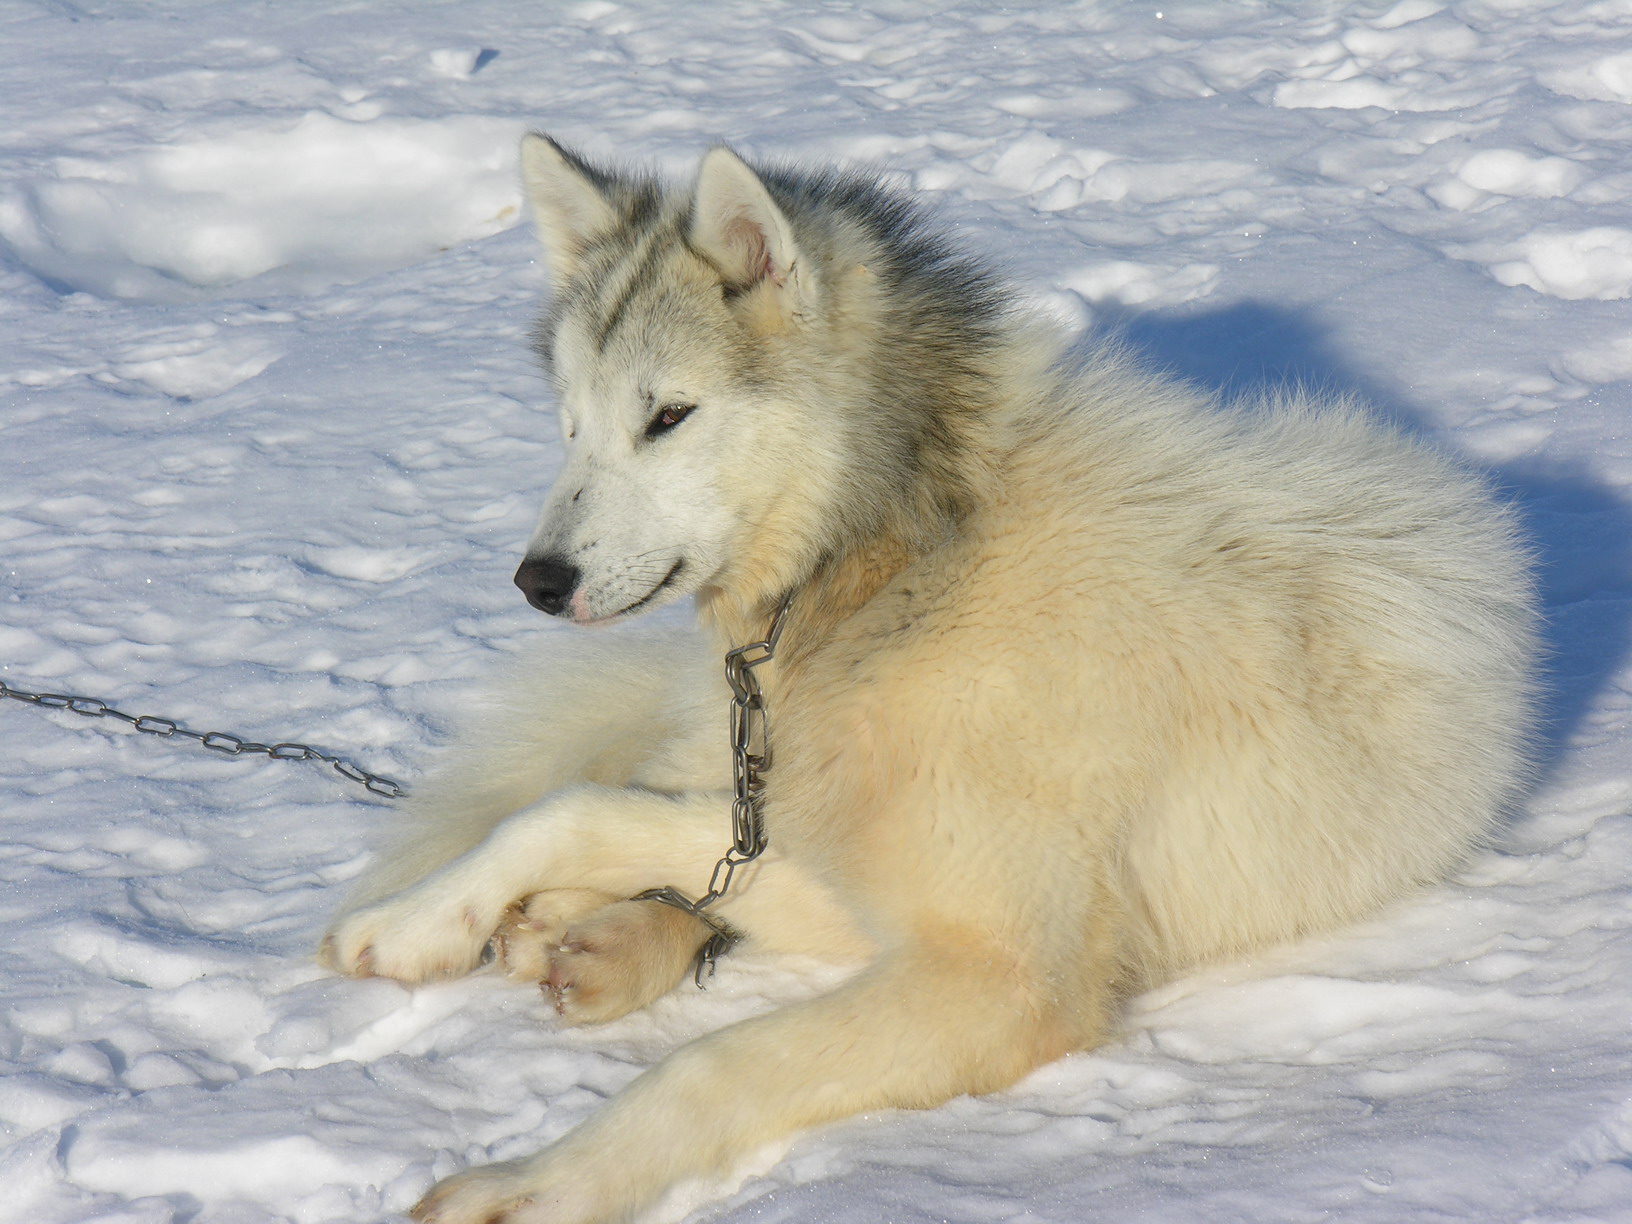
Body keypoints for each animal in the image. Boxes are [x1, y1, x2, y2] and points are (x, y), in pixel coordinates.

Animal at [321, 138, 1540, 1224]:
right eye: (570, 428)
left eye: (668, 417)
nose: (535, 580)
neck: (907, 566)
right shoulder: (833, 850)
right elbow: (568, 810)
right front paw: (412, 924)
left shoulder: (997, 973)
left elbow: (706, 1065)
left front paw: (534, 1184)